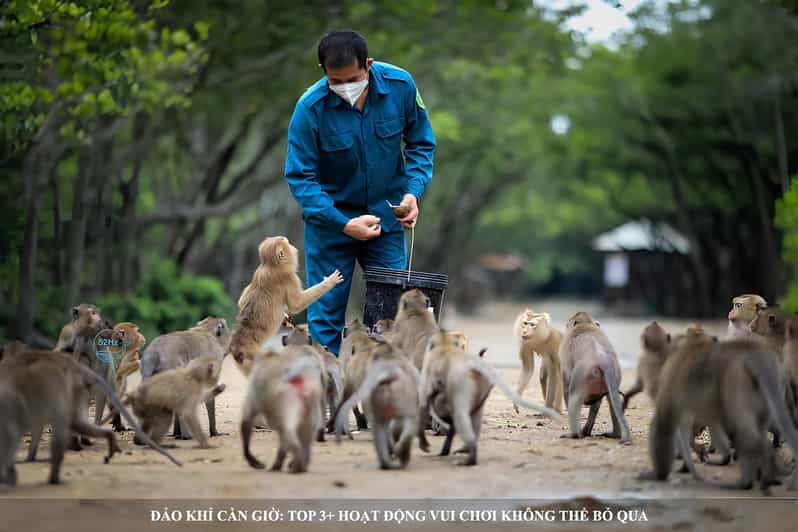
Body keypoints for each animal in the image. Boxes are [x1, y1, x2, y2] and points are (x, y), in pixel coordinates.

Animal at [229, 236, 344, 376]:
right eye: (288, 244)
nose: (294, 248)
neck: (270, 266)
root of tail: (237, 348)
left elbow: (241, 301)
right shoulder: (289, 277)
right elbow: (296, 304)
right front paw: (330, 282)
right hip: (255, 358)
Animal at [417, 331, 561, 466]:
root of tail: (476, 369)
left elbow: (425, 400)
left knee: (457, 413)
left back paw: (468, 453)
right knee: (471, 414)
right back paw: (464, 447)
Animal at [559, 312, 631, 443]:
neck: (585, 324)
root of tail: (604, 359)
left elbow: (566, 388)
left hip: (582, 374)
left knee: (574, 399)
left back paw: (574, 434)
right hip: (614, 373)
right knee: (612, 399)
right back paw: (615, 434)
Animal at [645, 334, 798, 492]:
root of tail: (756, 355)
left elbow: (665, 422)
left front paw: (660, 474)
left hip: (736, 383)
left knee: (739, 430)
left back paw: (748, 476)